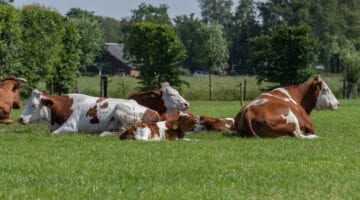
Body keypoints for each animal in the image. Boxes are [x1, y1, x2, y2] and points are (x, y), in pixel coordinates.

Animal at [17, 89, 159, 135]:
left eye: (34, 105)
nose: (20, 118)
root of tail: (155, 112)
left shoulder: (71, 127)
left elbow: (53, 134)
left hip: (120, 109)